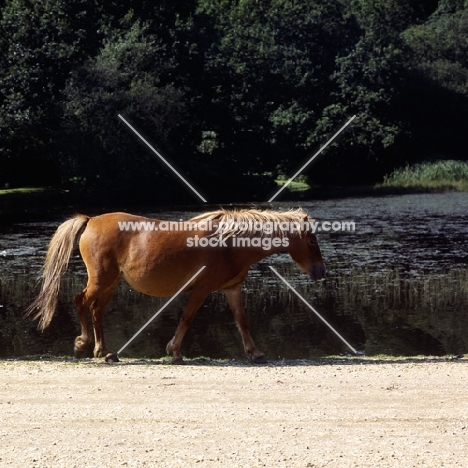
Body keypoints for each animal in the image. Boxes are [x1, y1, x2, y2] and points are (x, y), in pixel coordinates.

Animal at [26, 207, 326, 362]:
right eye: (311, 240)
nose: (321, 271)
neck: (229, 243)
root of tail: (91, 221)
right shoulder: (201, 290)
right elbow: (187, 318)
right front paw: (175, 351)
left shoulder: (232, 288)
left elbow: (242, 320)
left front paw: (255, 353)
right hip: (100, 281)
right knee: (81, 302)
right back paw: (84, 344)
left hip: (110, 284)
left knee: (96, 311)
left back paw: (104, 351)